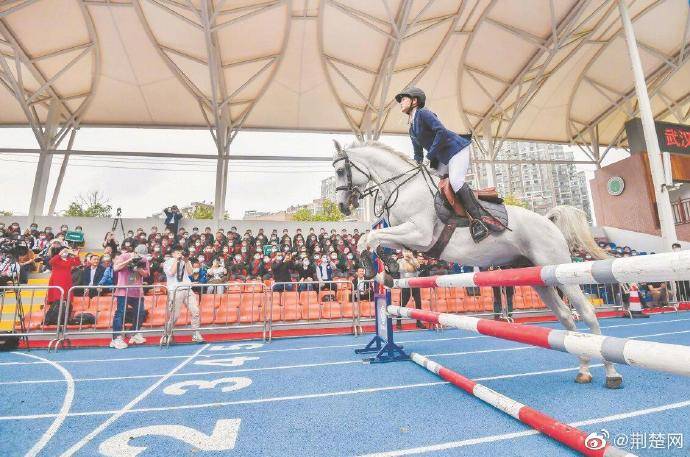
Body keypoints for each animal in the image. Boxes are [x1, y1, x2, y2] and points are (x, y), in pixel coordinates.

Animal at [334, 140, 624, 388]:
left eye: (339, 170)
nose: (342, 207)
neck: (404, 187)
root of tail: (548, 220)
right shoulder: (410, 238)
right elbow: (371, 239)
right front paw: (387, 271)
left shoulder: (420, 234)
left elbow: (371, 237)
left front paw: (377, 270)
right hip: (539, 277)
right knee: (565, 317)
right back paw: (583, 370)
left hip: (560, 271)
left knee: (586, 312)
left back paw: (611, 373)